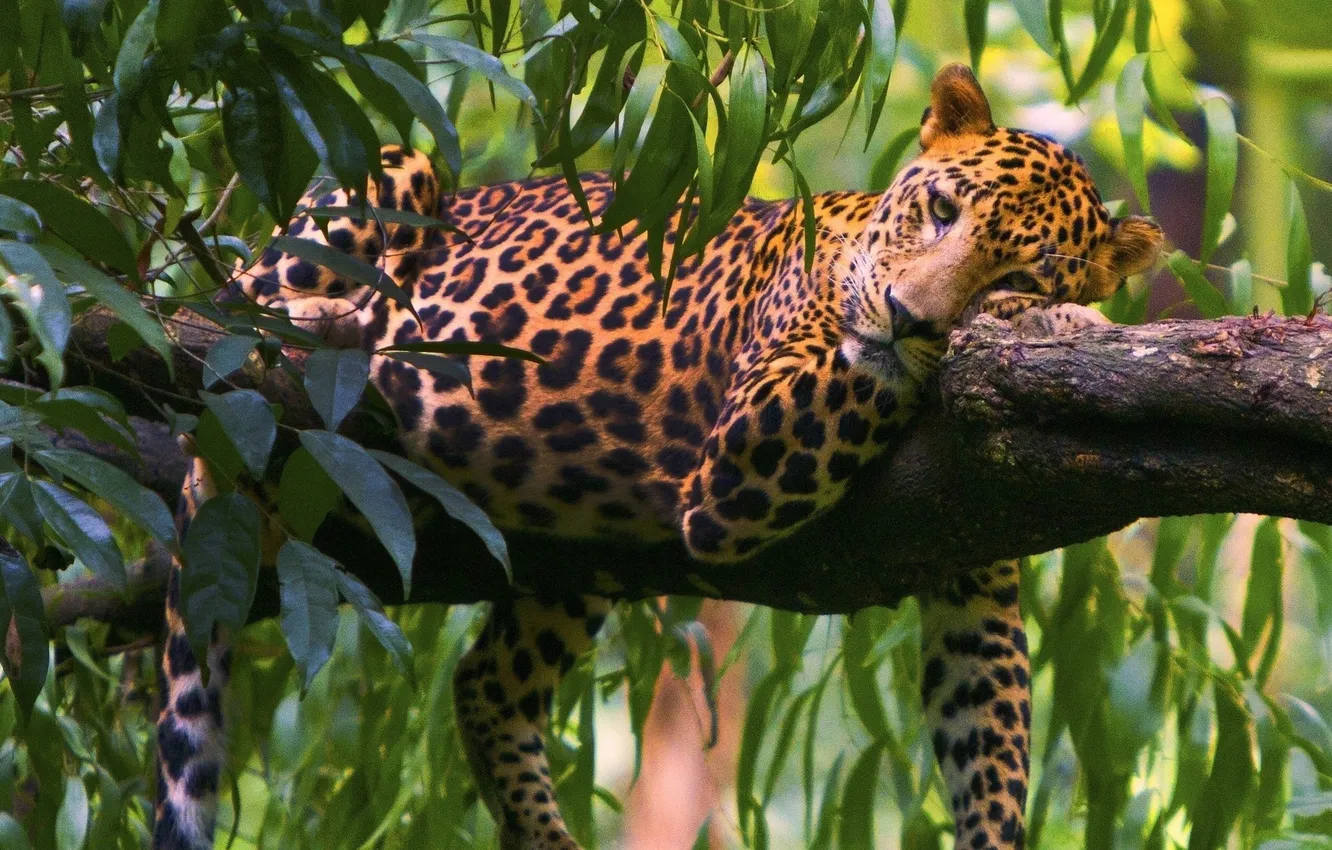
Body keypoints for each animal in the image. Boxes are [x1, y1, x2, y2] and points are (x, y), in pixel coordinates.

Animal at [151, 64, 1162, 850]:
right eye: (942, 209)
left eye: (1018, 265)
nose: (907, 316)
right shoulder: (752, 445)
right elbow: (869, 372)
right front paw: (1061, 323)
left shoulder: (973, 574)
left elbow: (990, 750)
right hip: (388, 176)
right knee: (227, 308)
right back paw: (336, 322)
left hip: (572, 552)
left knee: (485, 684)